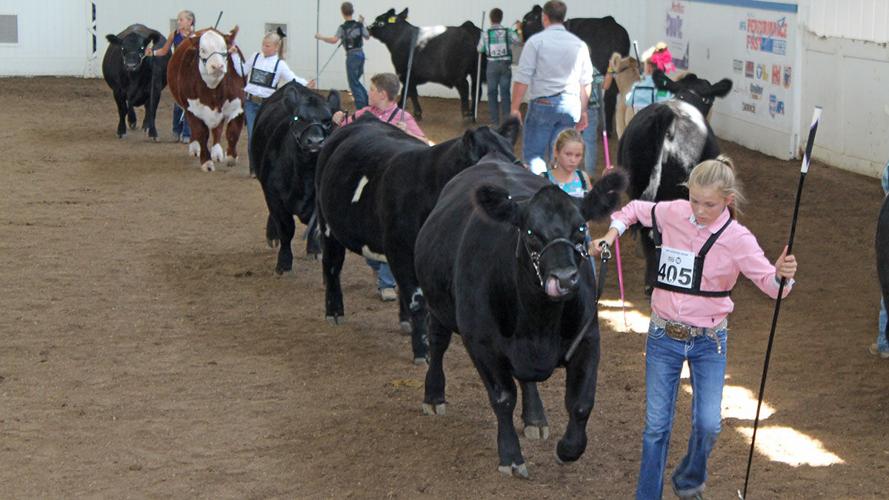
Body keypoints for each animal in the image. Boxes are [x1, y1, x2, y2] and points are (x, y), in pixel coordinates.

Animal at [165, 26, 243, 172]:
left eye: (225, 48)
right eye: (202, 50)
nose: (217, 66)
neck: (213, 89)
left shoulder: (237, 105)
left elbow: (233, 131)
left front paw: (231, 157)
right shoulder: (192, 110)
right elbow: (201, 133)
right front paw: (206, 162)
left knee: (217, 129)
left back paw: (217, 153)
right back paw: (195, 148)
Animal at [253, 81, 344, 274]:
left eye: (327, 120)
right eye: (298, 118)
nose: (315, 141)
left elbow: (314, 227)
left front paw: (314, 249)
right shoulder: (274, 196)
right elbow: (286, 229)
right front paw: (283, 263)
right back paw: (272, 236)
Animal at [316, 114, 520, 364]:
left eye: (516, 163)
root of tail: (362, 120)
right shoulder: (401, 250)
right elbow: (418, 300)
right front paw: (422, 351)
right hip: (327, 222)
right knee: (332, 266)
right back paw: (334, 312)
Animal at [414, 158, 624, 478]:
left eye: (580, 227)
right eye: (530, 232)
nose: (565, 279)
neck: (538, 323)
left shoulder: (588, 338)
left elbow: (581, 403)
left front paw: (567, 449)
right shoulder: (481, 344)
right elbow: (503, 398)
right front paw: (511, 455)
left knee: (527, 379)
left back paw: (535, 418)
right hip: (437, 303)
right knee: (437, 343)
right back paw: (434, 396)